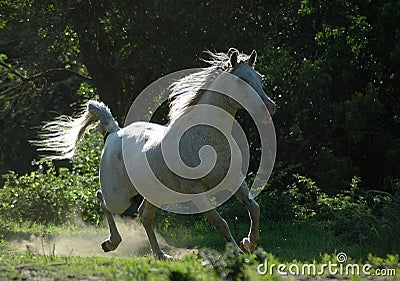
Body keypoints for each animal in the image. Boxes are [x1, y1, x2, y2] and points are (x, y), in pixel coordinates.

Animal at [34, 48, 276, 258]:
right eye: (241, 81)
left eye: (260, 78)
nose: (269, 108)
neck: (205, 138)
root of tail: (115, 132)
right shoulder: (196, 191)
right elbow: (221, 223)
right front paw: (238, 252)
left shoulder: (234, 179)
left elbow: (254, 208)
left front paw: (248, 243)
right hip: (119, 197)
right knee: (103, 199)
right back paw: (111, 244)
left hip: (155, 194)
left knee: (144, 216)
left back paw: (160, 255)